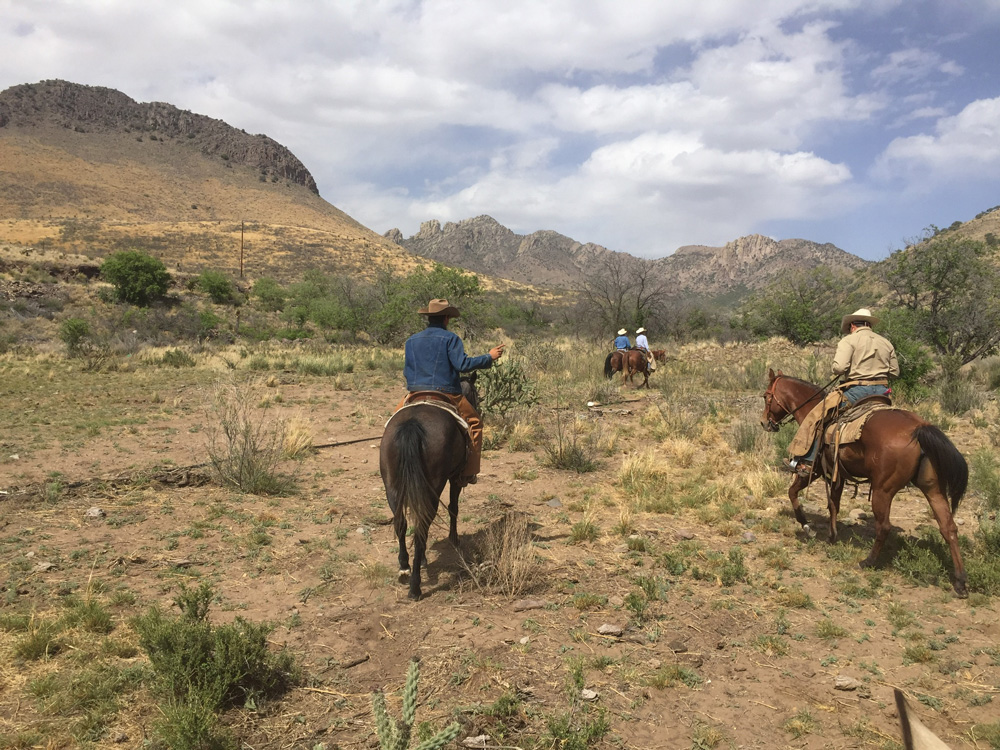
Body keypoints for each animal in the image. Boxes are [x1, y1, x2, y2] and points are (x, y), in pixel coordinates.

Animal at [378, 378, 480, 604]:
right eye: (476, 394)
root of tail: (411, 425)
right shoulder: (455, 478)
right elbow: (453, 507)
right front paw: (454, 539)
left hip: (392, 485)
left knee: (403, 522)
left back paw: (404, 568)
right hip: (433, 485)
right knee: (422, 526)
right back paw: (415, 587)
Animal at [760, 370, 964, 600]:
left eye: (767, 396)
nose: (764, 422)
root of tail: (920, 429)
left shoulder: (815, 469)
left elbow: (792, 492)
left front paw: (806, 526)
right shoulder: (837, 474)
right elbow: (833, 505)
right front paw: (832, 536)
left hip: (883, 490)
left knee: (884, 527)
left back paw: (868, 561)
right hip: (933, 489)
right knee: (948, 527)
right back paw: (960, 582)